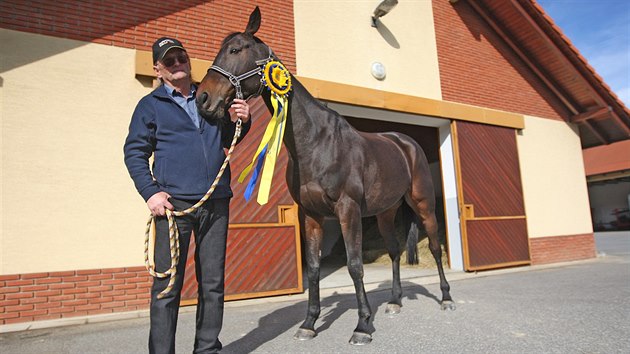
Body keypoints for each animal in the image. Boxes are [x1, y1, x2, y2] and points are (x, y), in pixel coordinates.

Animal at [198, 6, 454, 346]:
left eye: (236, 49)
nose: (202, 98)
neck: (316, 142)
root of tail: (406, 142)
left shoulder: (348, 210)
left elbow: (355, 265)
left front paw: (362, 326)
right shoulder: (311, 214)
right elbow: (314, 267)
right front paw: (309, 323)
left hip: (423, 204)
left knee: (436, 248)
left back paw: (446, 298)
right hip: (385, 213)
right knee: (394, 250)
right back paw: (395, 301)